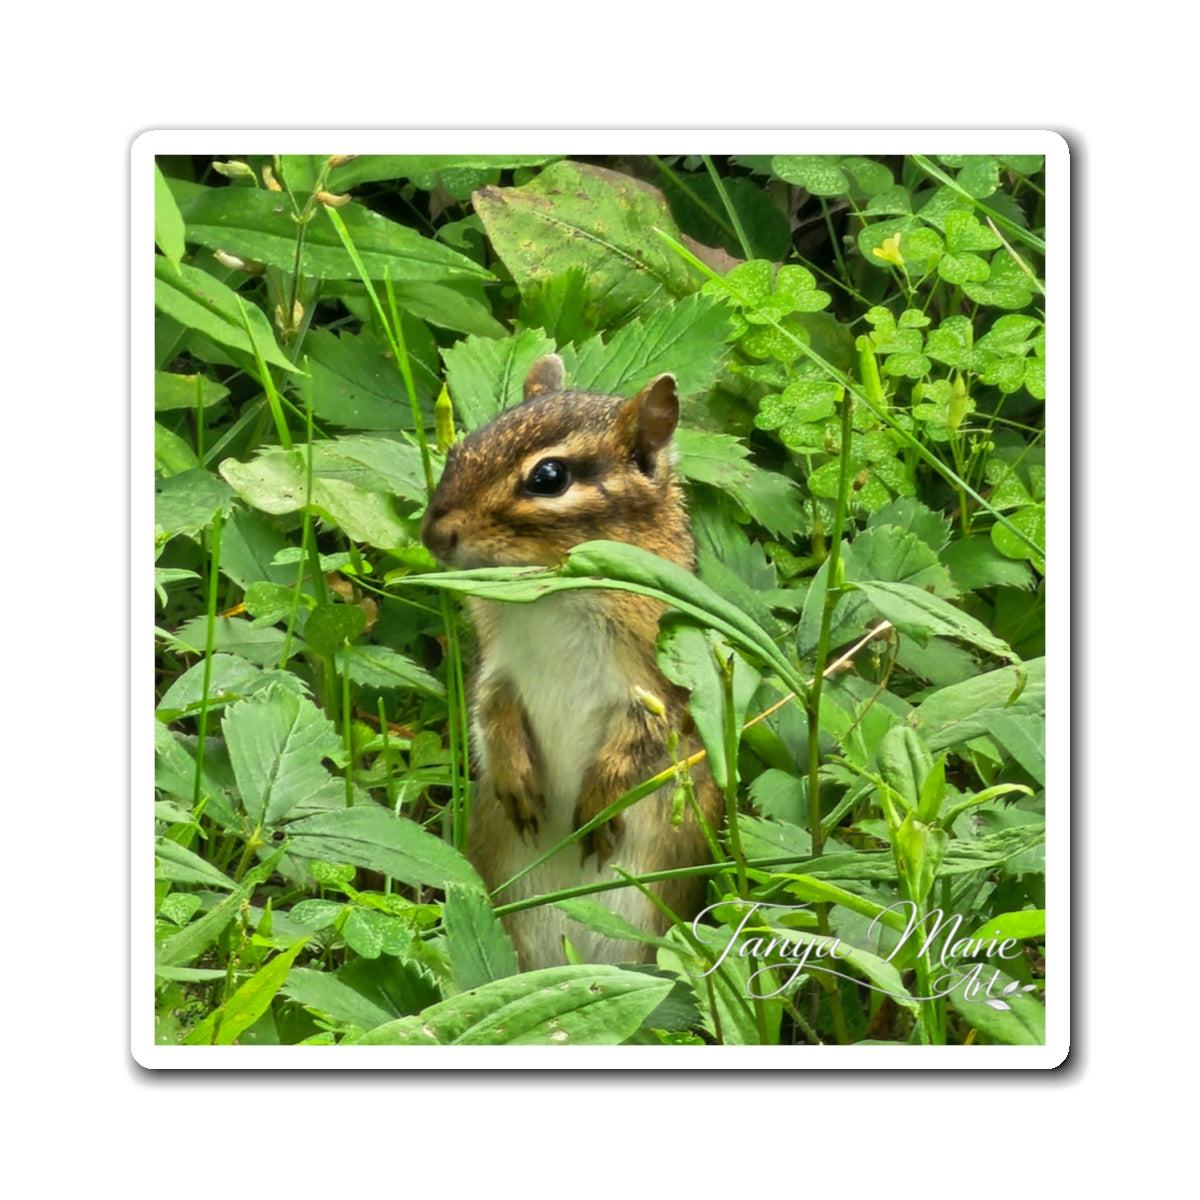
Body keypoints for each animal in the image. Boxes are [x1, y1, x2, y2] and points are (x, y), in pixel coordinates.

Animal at [421, 354, 721, 971]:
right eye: (461, 448)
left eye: (548, 478)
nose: (433, 533)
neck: (550, 597)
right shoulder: (497, 667)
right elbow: (490, 712)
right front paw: (514, 778)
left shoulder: (658, 685)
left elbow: (641, 743)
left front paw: (599, 805)